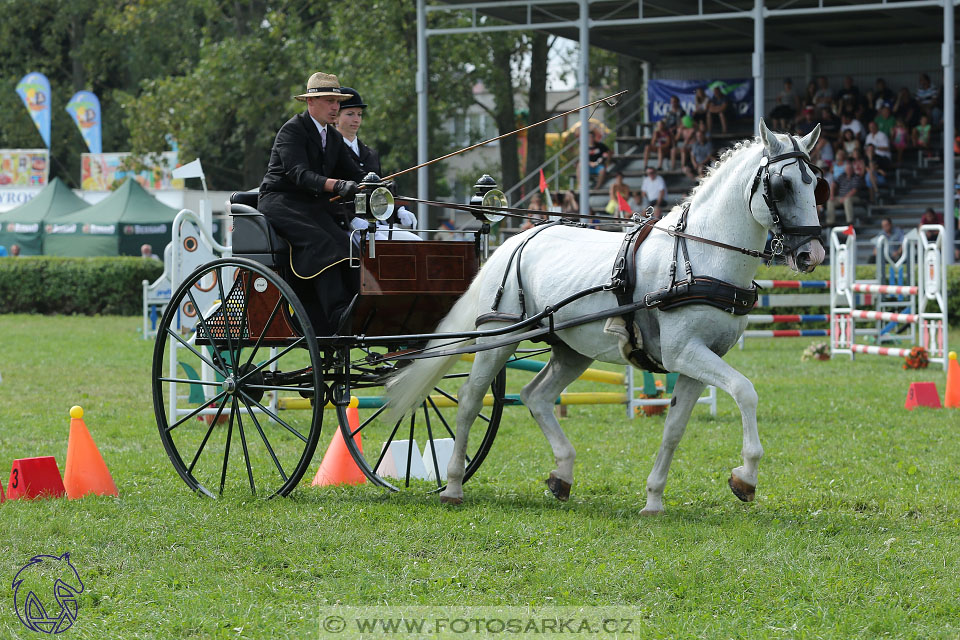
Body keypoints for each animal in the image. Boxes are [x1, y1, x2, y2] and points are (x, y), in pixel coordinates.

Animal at [382, 121, 824, 516]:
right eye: (782, 187)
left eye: (815, 184)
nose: (813, 254)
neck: (701, 255)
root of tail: (515, 239)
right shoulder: (685, 353)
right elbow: (746, 391)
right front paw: (745, 476)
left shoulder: (700, 360)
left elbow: (674, 428)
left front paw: (654, 499)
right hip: (496, 339)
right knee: (471, 401)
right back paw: (453, 485)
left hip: (572, 350)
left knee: (536, 396)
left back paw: (562, 475)